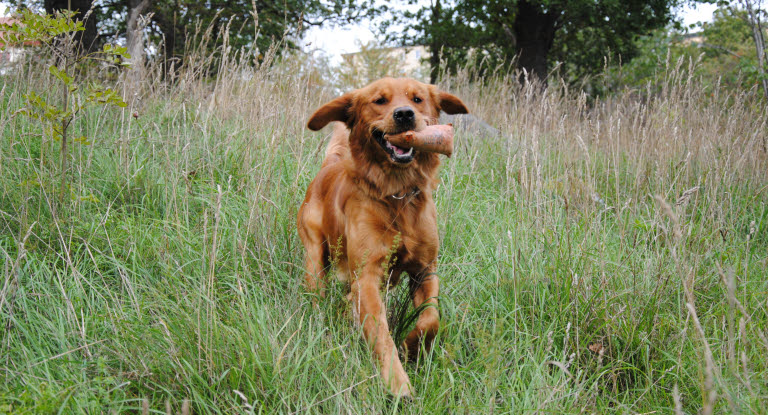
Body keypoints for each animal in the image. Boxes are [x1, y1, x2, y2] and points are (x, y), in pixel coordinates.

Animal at [298, 76, 468, 398]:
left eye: (417, 99)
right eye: (379, 100)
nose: (404, 115)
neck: (397, 194)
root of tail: (329, 166)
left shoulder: (426, 271)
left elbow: (431, 319)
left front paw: (411, 347)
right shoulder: (367, 276)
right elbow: (380, 333)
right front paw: (398, 384)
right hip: (315, 256)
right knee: (317, 293)